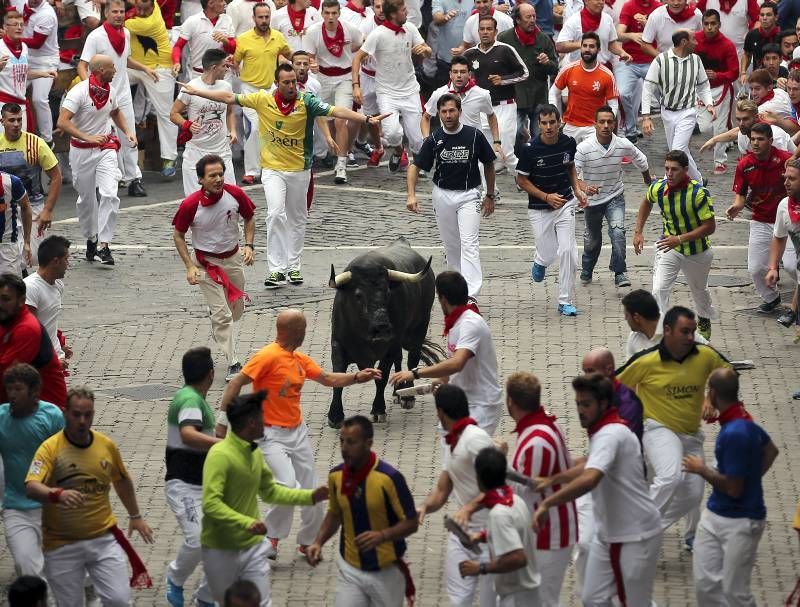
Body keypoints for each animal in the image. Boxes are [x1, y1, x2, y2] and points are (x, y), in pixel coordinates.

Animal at [328, 238, 446, 428]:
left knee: (411, 359)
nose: (382, 326)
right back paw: (398, 392)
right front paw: (335, 415)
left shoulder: (389, 347)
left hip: (418, 330)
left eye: (388, 292)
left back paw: (407, 395)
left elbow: (381, 378)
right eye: (358, 295)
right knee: (400, 358)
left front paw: (378, 409)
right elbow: (337, 377)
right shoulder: (338, 344)